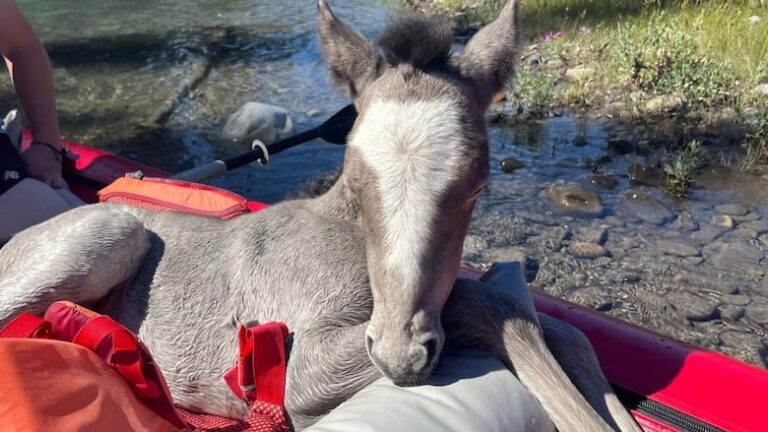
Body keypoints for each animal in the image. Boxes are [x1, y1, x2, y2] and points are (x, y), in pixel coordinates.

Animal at [0, 1, 640, 431]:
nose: (401, 357)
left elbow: (561, 328)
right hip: (108, 229)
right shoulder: (299, 374)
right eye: (354, 176)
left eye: (477, 186)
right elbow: (490, 305)